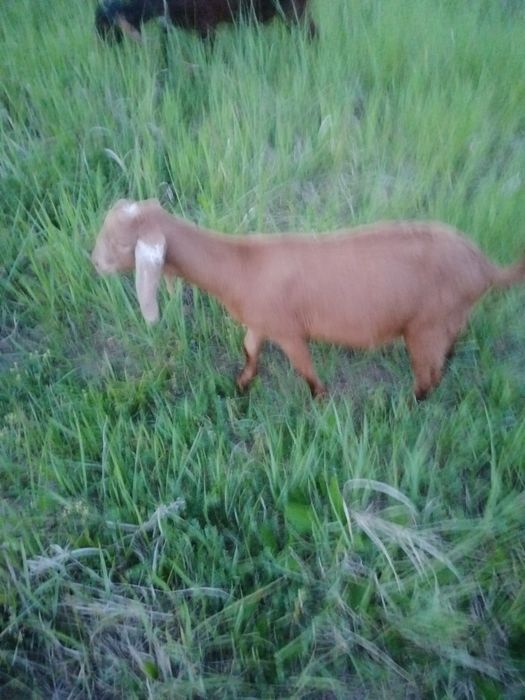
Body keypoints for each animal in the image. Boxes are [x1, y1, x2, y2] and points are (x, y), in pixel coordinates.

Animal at [91, 199, 525, 399]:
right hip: (451, 318)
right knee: (446, 355)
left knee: (428, 375)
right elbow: (250, 349)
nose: (93, 261)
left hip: (426, 326)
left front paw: (320, 399)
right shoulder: (260, 322)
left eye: (119, 243)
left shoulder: (288, 330)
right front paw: (241, 384)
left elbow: (304, 368)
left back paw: (408, 406)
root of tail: (486, 267)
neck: (241, 266)